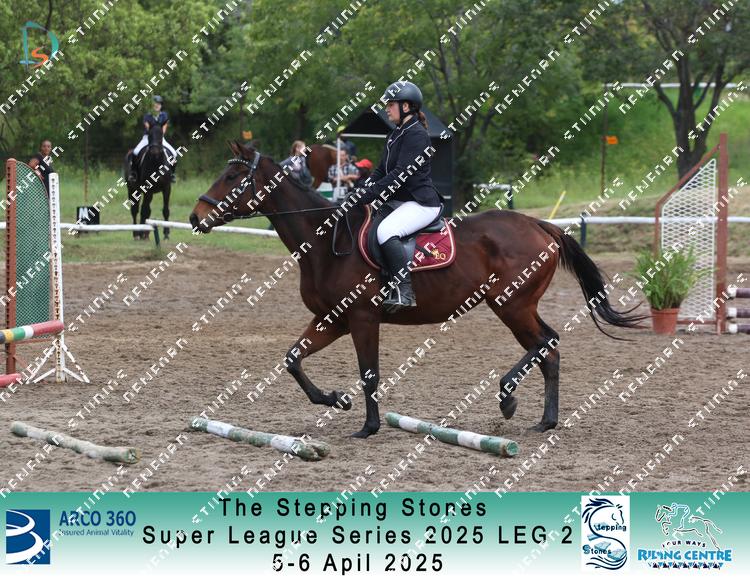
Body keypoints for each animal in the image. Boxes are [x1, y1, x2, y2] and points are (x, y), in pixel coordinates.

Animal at [189, 141, 643, 438]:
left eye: (232, 176)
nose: (195, 217)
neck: (326, 244)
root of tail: (539, 224)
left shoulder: (362, 319)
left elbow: (369, 373)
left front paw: (369, 427)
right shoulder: (332, 319)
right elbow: (293, 359)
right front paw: (336, 399)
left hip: (511, 304)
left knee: (546, 342)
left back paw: (508, 398)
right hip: (515, 305)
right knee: (548, 348)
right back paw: (545, 420)